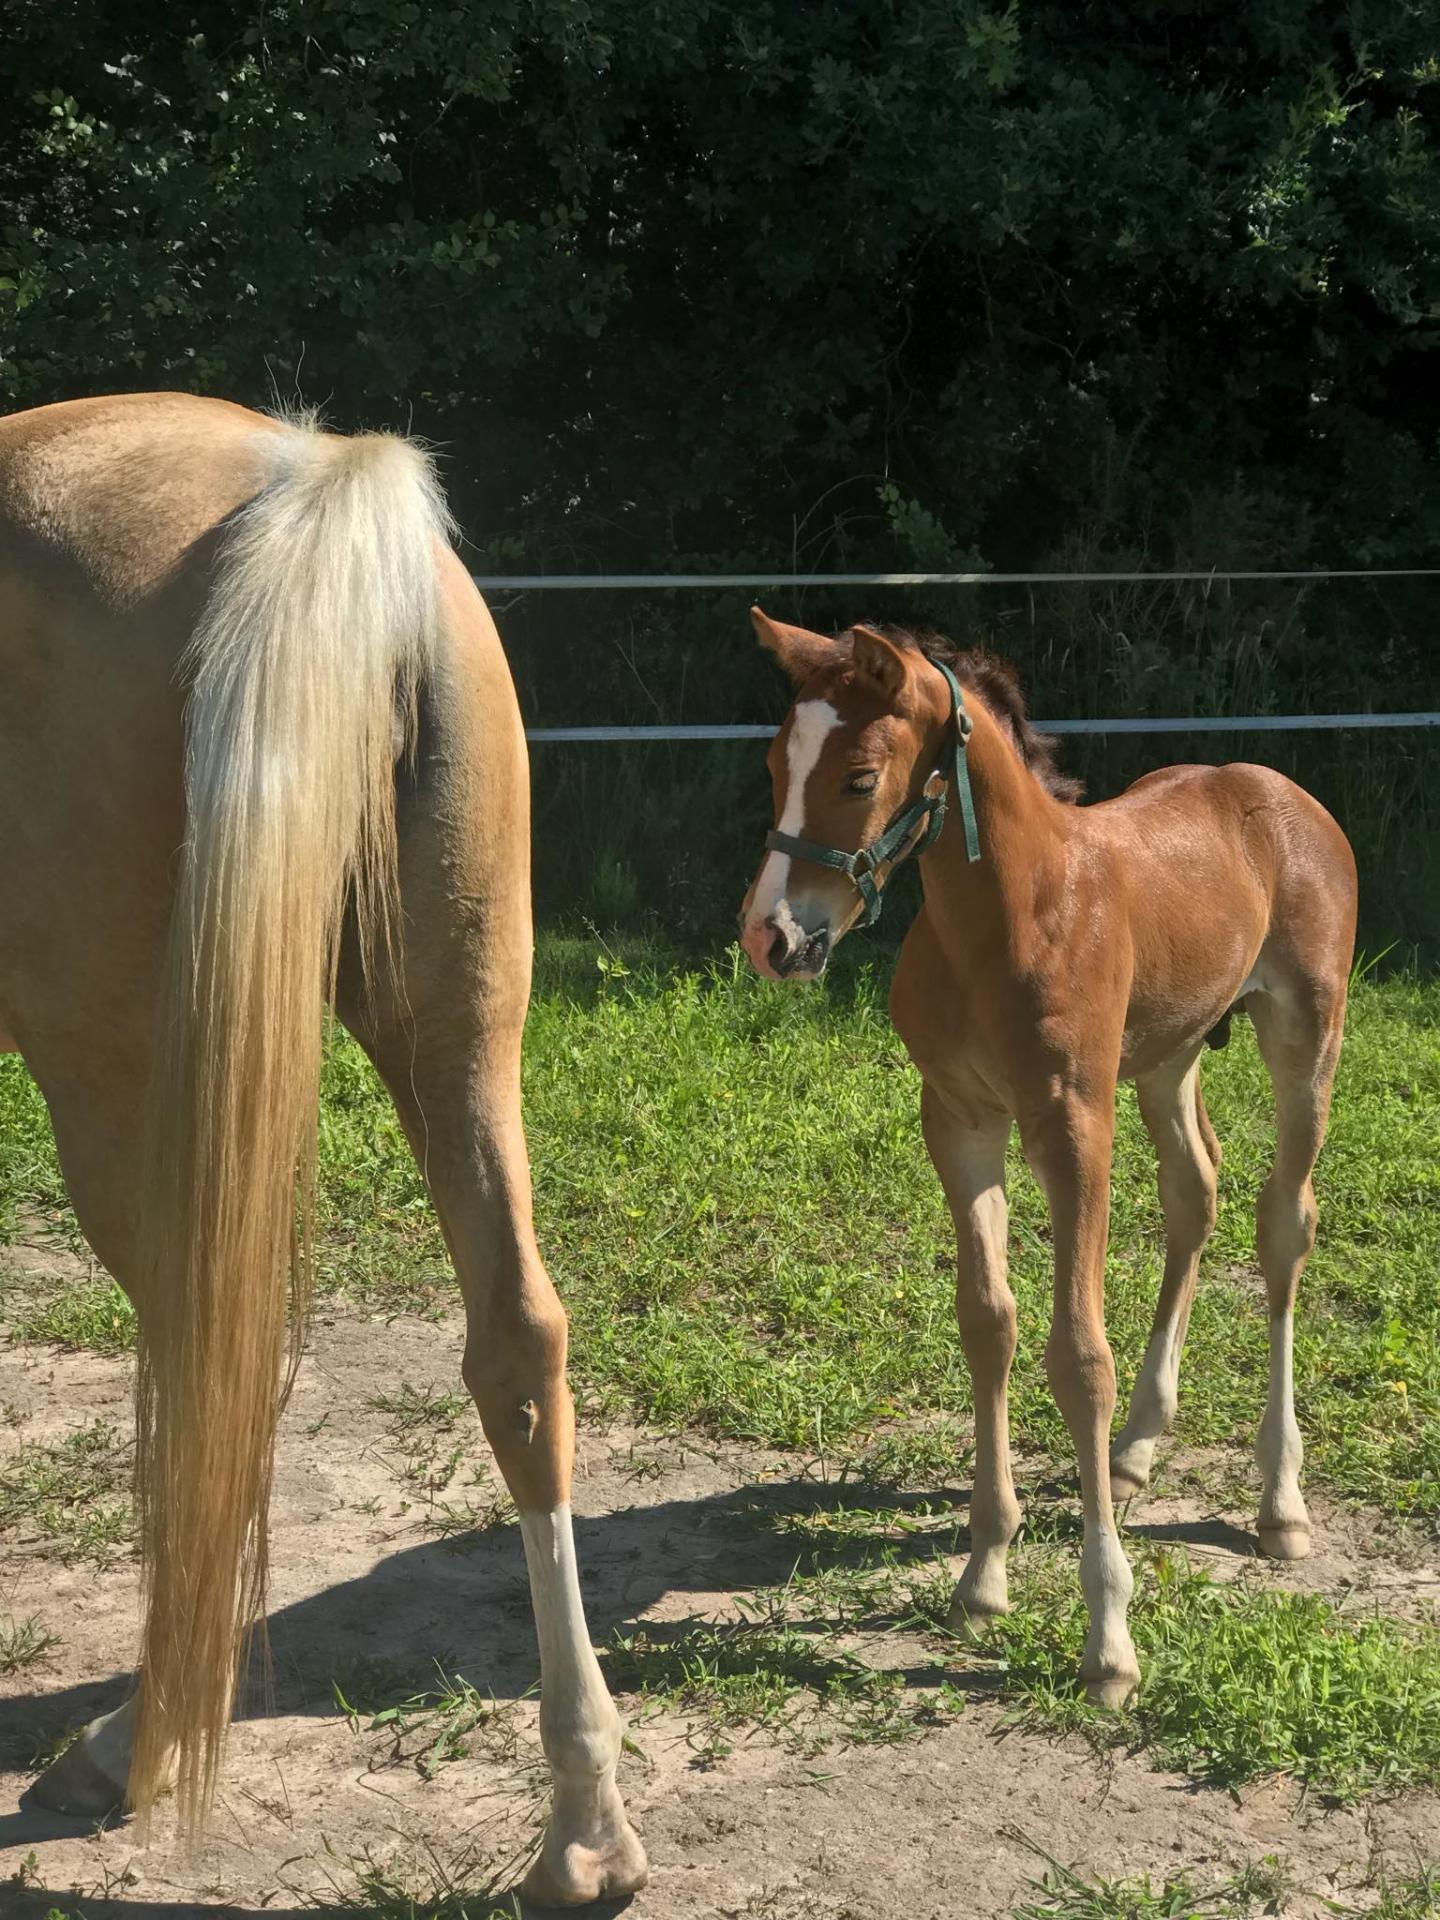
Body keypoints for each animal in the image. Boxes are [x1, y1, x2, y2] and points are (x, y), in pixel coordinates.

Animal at [0, 393, 645, 1904]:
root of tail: (303, 477)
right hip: (457, 1021)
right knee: (515, 1345)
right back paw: (583, 1825)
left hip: (118, 1085)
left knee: (206, 1377)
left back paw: (134, 1746)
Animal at [744, 614, 1367, 1712]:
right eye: (777, 764)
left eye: (858, 778)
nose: (770, 938)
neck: (1011, 916)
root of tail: (1276, 788)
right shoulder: (958, 1119)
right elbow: (988, 1323)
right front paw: (984, 1575)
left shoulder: (1074, 1126)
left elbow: (1079, 1359)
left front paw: (1108, 1641)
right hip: (1165, 1056)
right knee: (1195, 1192)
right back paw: (1140, 1448)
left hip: (1306, 1037)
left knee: (1284, 1225)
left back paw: (1280, 1502)